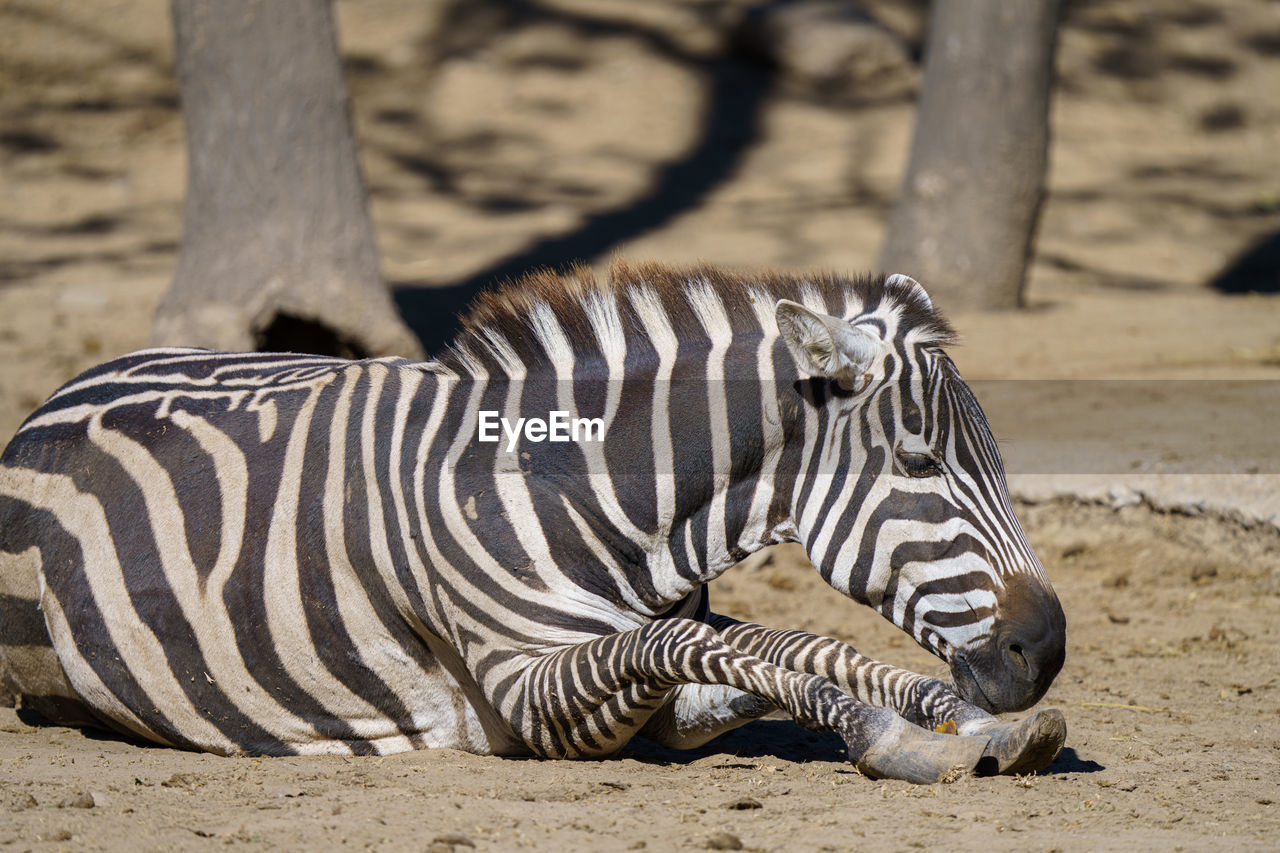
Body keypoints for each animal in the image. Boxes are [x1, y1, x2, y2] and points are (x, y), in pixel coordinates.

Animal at [0, 262, 1070, 778]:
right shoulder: (528, 693)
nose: (1047, 650)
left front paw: (965, 718)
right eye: (920, 463)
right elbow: (729, 645)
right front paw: (902, 736)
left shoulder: (667, 697)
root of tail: (71, 383)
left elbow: (787, 645)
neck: (588, 491)